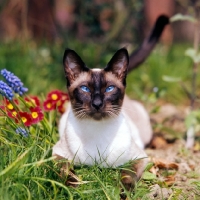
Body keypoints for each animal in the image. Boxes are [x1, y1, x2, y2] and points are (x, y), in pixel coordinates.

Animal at [52, 14, 169, 187]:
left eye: (109, 89)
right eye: (85, 89)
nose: (97, 104)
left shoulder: (139, 158)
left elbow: (127, 175)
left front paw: (123, 191)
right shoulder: (57, 154)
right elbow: (65, 171)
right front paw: (72, 186)